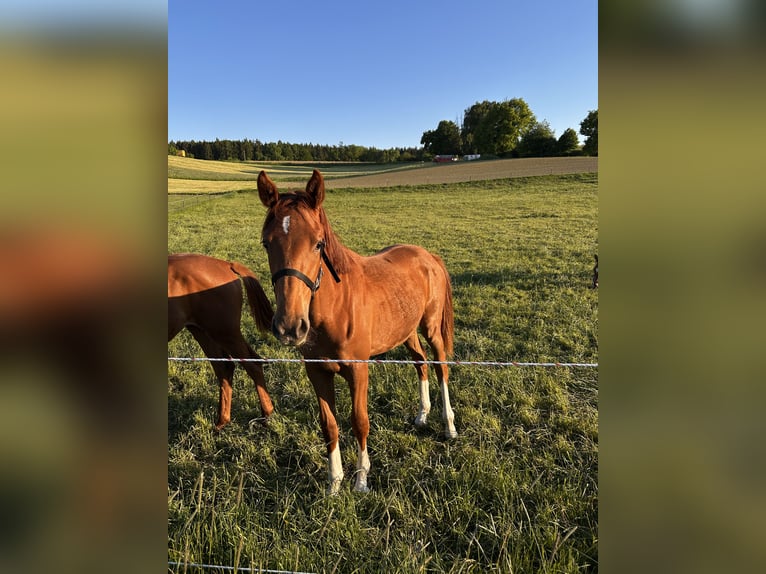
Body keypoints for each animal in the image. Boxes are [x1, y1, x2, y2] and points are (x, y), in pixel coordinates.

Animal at [168, 253, 275, 430]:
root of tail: (226, 264)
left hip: (224, 333)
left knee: (252, 365)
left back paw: (266, 414)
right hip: (203, 332)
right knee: (224, 369)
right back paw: (221, 421)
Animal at [257, 169, 457, 494]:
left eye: (318, 244)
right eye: (266, 243)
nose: (289, 327)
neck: (335, 309)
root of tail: (428, 256)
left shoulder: (358, 370)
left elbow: (359, 421)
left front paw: (361, 479)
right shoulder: (317, 372)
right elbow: (329, 425)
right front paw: (334, 483)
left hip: (430, 328)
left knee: (441, 367)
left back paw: (449, 425)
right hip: (406, 331)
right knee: (421, 363)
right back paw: (422, 414)